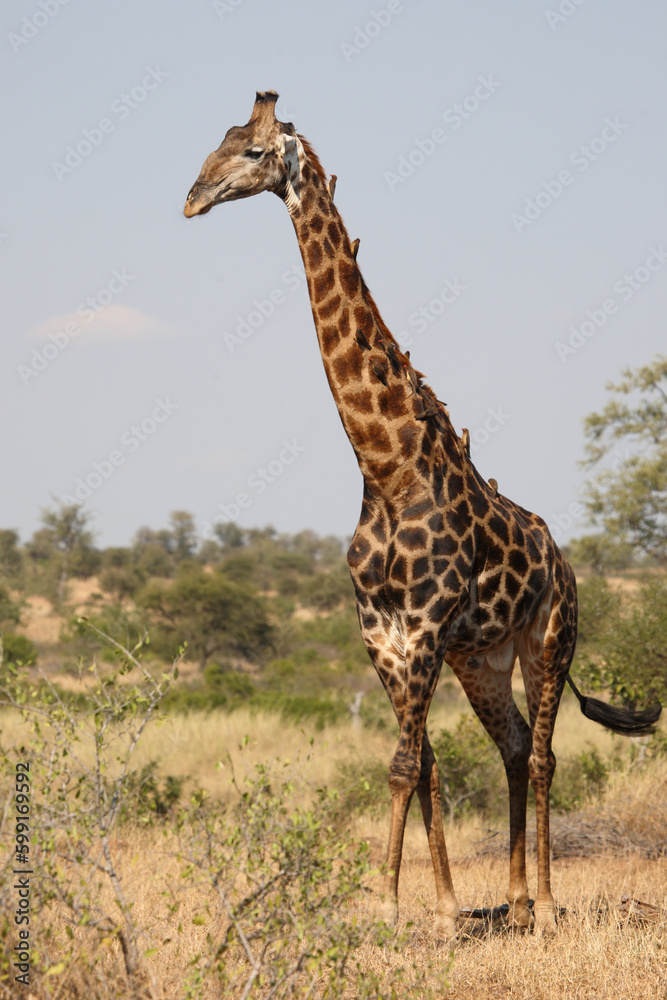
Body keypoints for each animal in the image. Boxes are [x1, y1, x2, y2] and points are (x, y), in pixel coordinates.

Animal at [184, 91, 661, 939]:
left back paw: (545, 901)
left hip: (549, 640)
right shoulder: (383, 633)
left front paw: (387, 903)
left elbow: (406, 762)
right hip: (483, 658)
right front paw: (436, 908)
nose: (191, 197)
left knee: (544, 756)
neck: (385, 468)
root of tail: (566, 562)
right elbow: (425, 763)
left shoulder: (427, 626)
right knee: (511, 747)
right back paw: (510, 900)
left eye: (252, 152)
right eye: (220, 141)